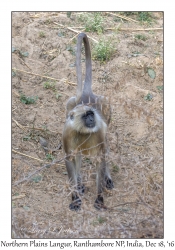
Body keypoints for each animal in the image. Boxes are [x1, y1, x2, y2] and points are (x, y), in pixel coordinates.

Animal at [62, 32, 114, 210]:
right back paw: (79, 184)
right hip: (70, 104)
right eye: (85, 116)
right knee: (77, 155)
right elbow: (70, 159)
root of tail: (85, 94)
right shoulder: (68, 132)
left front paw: (99, 198)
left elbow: (100, 159)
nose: (91, 118)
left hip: (105, 105)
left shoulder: (98, 132)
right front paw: (75, 197)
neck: (83, 131)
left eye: (91, 114)